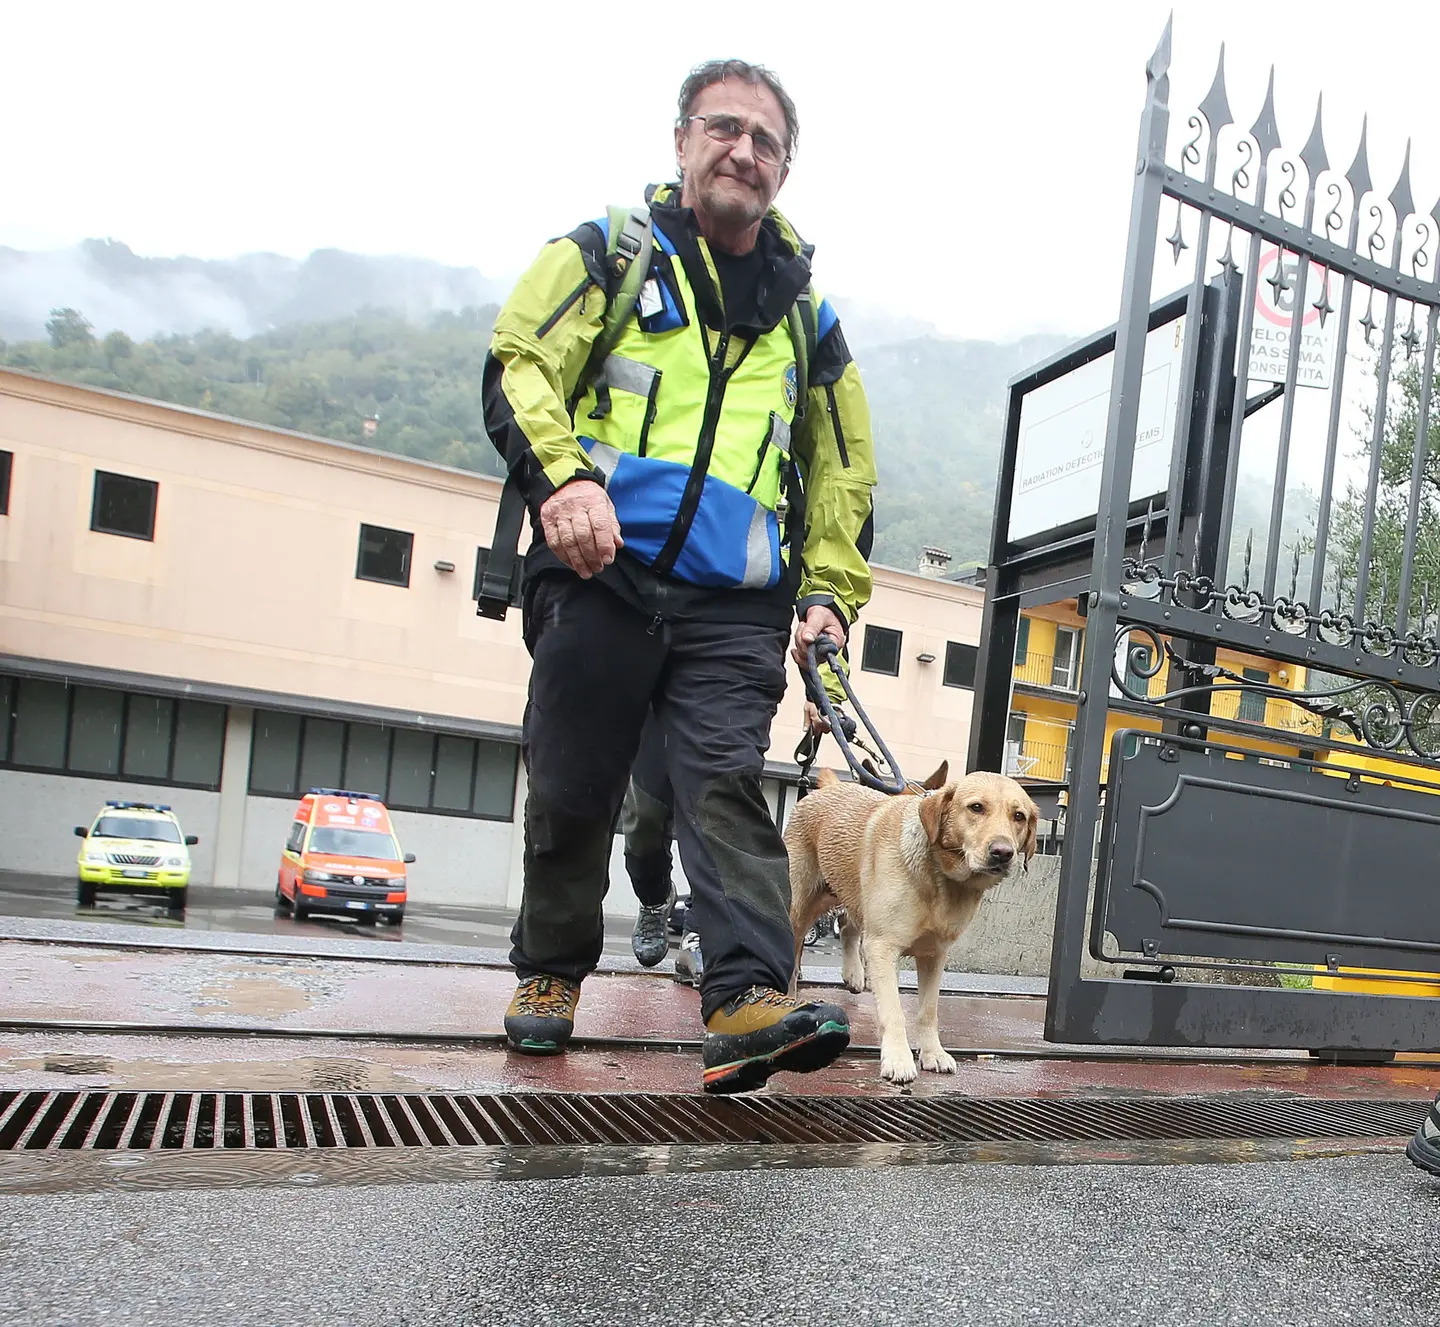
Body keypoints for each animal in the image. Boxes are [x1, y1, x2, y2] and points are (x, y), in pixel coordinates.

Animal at [789, 771, 1036, 1082]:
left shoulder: (934, 955)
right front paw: (897, 1059)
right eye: (976, 808)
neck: (941, 878)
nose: (1003, 853)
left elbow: (928, 1011)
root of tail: (830, 788)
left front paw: (933, 1054)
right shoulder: (883, 947)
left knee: (848, 925)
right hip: (800, 904)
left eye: (1019, 816)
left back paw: (853, 973)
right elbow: (893, 1010)